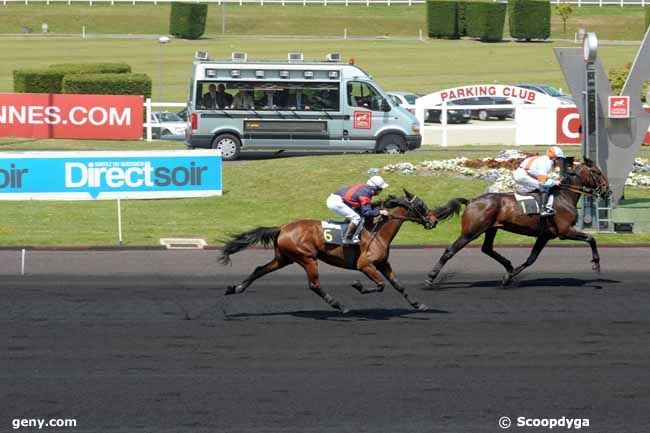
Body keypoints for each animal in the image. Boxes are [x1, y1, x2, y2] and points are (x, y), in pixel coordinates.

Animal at [220, 191, 464, 312]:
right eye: (421, 206)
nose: (433, 220)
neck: (377, 230)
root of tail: (282, 227)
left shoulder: (383, 263)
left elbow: (398, 285)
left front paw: (417, 304)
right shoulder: (365, 264)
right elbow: (380, 285)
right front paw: (358, 286)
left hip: (285, 258)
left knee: (259, 269)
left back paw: (235, 288)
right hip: (307, 258)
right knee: (314, 285)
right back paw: (340, 306)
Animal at [422, 159, 612, 286]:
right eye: (597, 172)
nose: (607, 191)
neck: (564, 196)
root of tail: (471, 201)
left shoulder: (545, 235)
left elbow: (531, 259)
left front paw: (509, 276)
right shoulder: (565, 231)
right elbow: (591, 239)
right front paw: (596, 264)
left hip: (491, 229)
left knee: (487, 249)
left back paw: (508, 266)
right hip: (471, 231)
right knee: (450, 250)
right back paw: (430, 277)